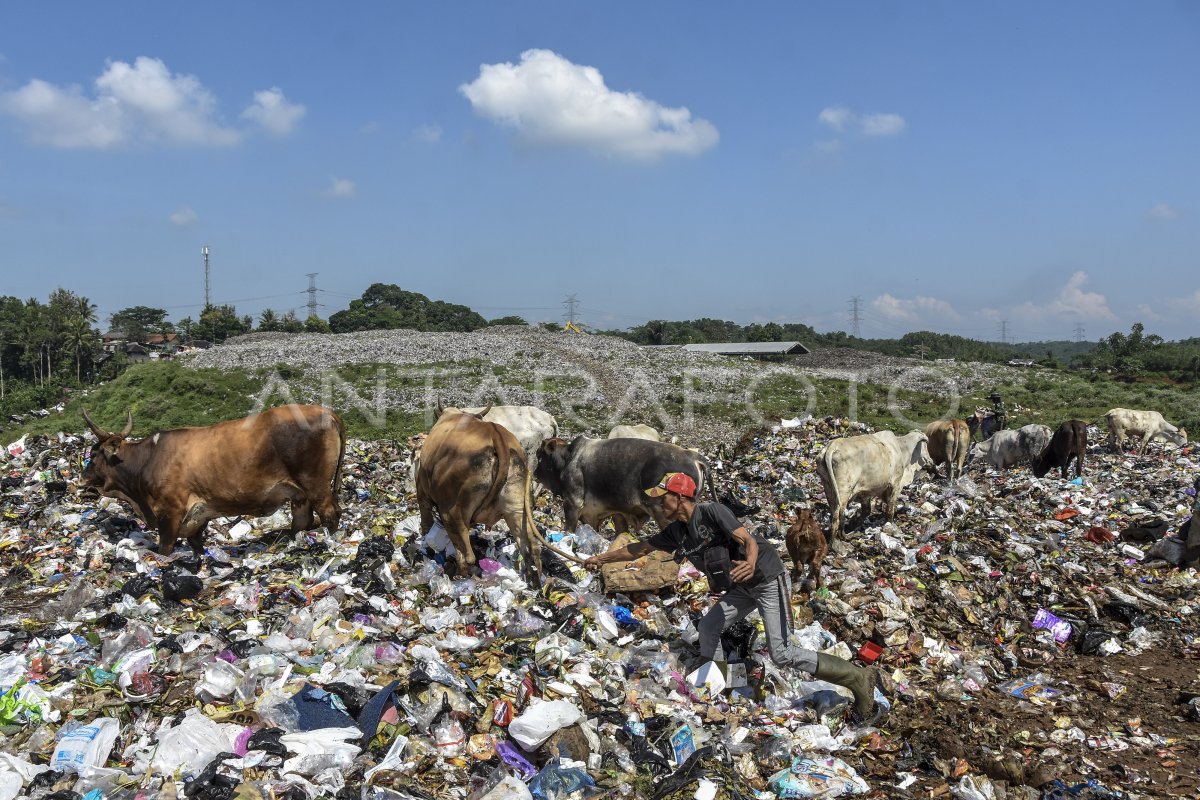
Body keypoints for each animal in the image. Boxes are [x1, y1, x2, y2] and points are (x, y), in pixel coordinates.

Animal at [81, 407, 345, 556]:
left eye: (93, 454)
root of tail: (328, 413)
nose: (83, 476)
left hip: (315, 485)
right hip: (299, 494)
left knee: (330, 514)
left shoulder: (170, 513)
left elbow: (165, 550)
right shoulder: (199, 516)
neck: (147, 459)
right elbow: (196, 545)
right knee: (302, 521)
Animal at [415, 407, 542, 582]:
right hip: (517, 506)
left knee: (466, 552)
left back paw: (459, 575)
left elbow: (425, 517)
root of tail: (496, 435)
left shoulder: (422, 487)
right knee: (529, 546)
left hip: (452, 511)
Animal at [535, 438, 710, 532]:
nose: (535, 473)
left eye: (540, 455)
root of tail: (693, 455)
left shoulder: (572, 503)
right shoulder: (615, 512)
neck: (569, 458)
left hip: (665, 514)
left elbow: (569, 528)